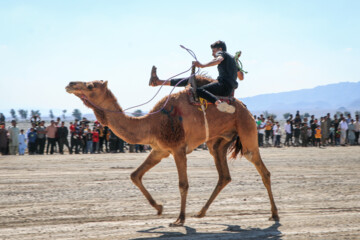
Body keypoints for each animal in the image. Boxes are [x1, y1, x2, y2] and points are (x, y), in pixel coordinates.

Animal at [64, 77, 278, 227]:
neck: (151, 123)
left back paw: (274, 214)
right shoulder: (159, 150)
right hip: (217, 143)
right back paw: (201, 212)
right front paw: (159, 208)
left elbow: (183, 184)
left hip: (247, 131)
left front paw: (179, 219)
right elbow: (135, 175)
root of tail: (246, 109)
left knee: (263, 170)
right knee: (224, 176)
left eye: (90, 86)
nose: (70, 84)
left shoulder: (178, 149)